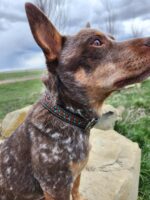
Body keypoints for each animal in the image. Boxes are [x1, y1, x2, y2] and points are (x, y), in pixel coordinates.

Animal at [0, 1, 150, 200]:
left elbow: (77, 189)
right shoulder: (56, 186)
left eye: (113, 38)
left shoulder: (75, 176)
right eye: (96, 42)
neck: (67, 114)